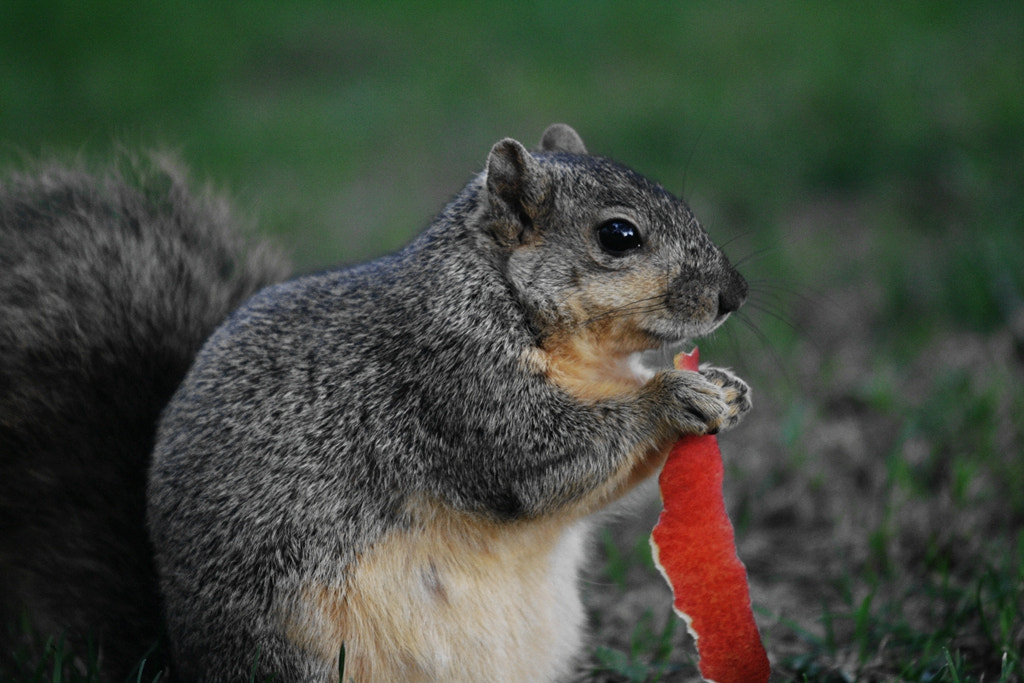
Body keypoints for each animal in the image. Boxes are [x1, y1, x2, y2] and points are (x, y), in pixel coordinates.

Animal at [1, 124, 751, 682]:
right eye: (618, 236)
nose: (735, 294)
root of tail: (183, 663)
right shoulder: (454, 382)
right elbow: (540, 460)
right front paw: (671, 395)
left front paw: (725, 385)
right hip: (303, 652)